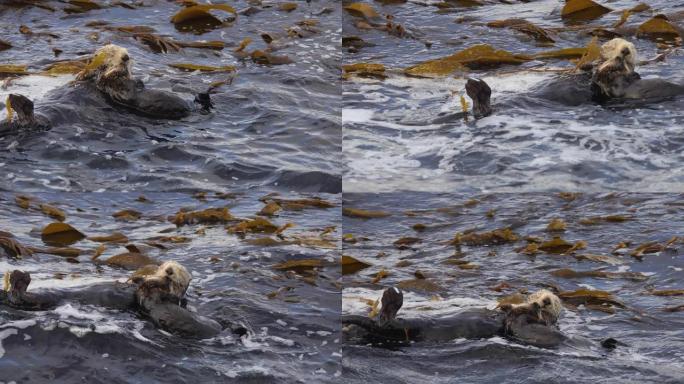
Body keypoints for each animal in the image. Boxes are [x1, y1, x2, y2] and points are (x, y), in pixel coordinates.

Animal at [0, 260, 222, 340]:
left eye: (178, 272)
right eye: (168, 266)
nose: (168, 272)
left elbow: (151, 294)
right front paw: (138, 279)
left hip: (43, 300)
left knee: (21, 298)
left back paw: (18, 278)